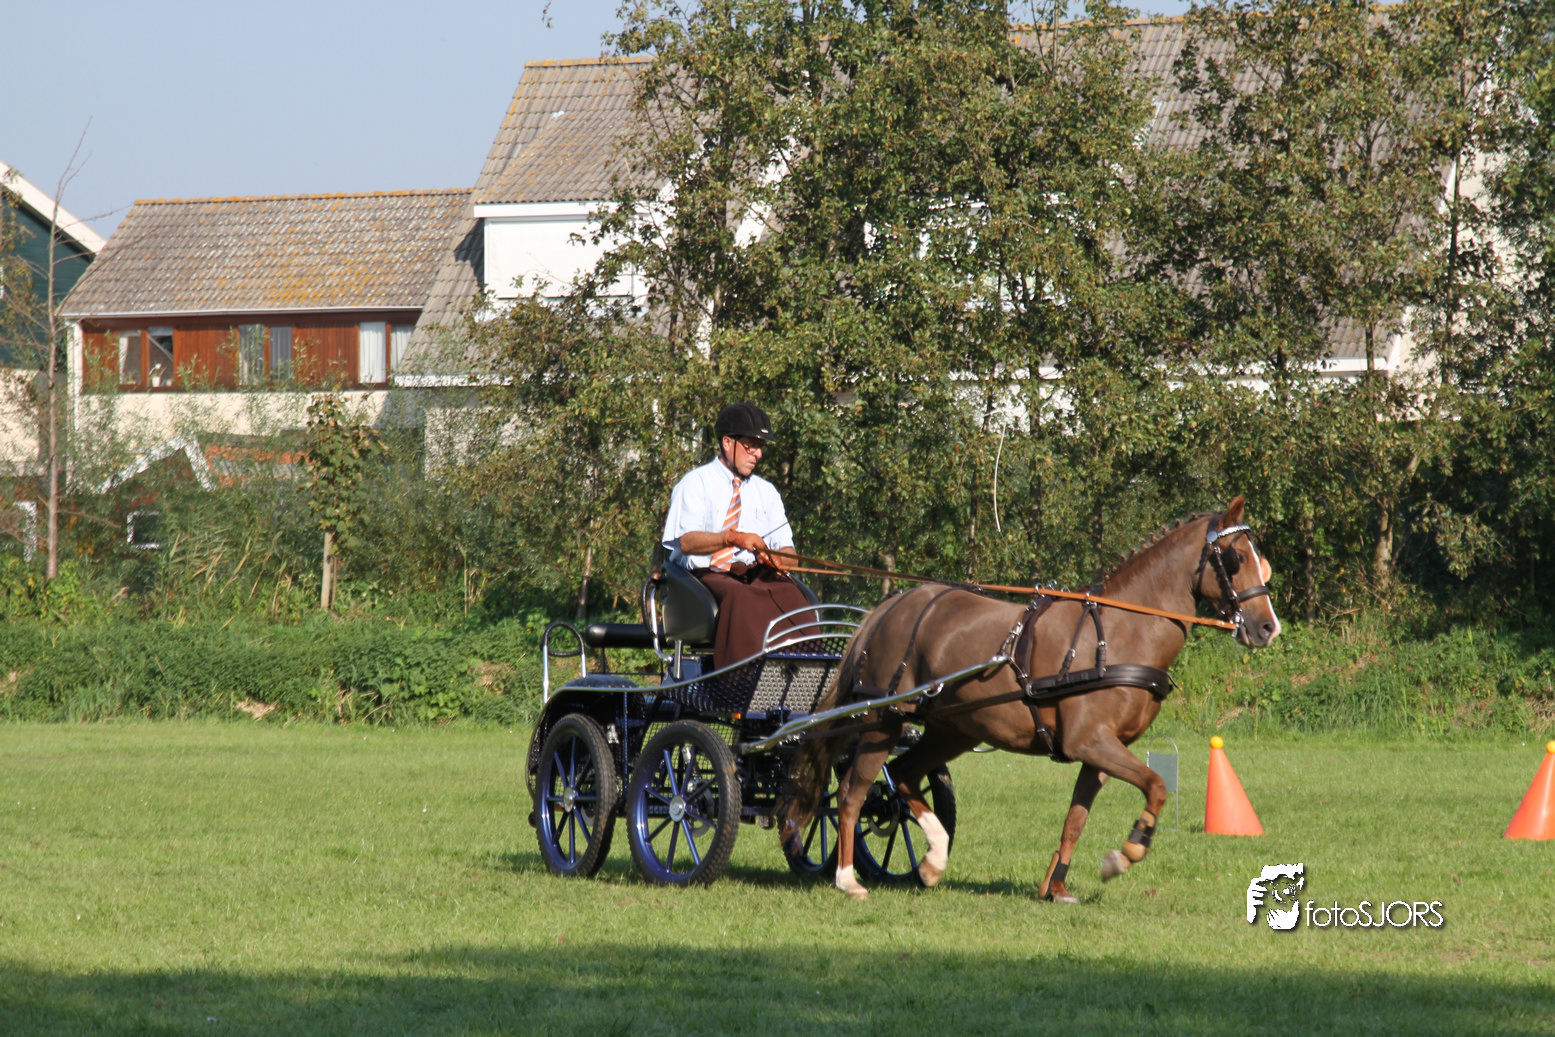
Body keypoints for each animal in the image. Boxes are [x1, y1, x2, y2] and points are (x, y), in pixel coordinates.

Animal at [780, 496, 1281, 901]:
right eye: (1235, 557)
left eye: (1262, 561)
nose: (1267, 628)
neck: (1121, 634)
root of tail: (891, 606)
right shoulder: (1091, 742)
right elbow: (1157, 786)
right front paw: (1127, 852)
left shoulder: (1099, 751)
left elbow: (1076, 817)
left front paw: (1056, 887)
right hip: (885, 718)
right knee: (854, 791)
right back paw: (848, 878)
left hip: (951, 728)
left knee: (902, 776)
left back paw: (933, 860)